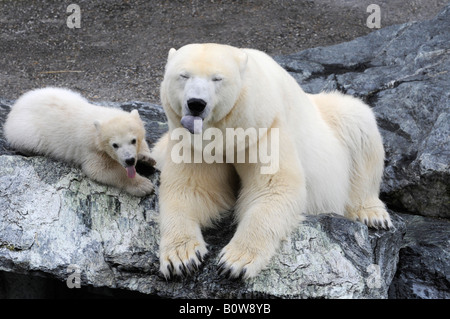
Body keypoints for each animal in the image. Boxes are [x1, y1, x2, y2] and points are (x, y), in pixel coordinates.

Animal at [153, 43, 392, 280]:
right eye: (183, 75)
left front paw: (235, 262)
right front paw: (181, 258)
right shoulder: (193, 143)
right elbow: (192, 190)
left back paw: (372, 215)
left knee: (359, 126)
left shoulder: (264, 127)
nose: (196, 104)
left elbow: (273, 188)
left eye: (217, 78)